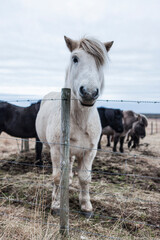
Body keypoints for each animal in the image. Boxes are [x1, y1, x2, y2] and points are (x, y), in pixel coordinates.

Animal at [36, 35, 114, 216]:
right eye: (75, 59)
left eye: (100, 62)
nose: (89, 92)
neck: (79, 120)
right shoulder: (57, 150)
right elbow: (57, 177)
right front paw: (56, 204)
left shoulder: (90, 152)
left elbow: (85, 178)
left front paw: (86, 206)